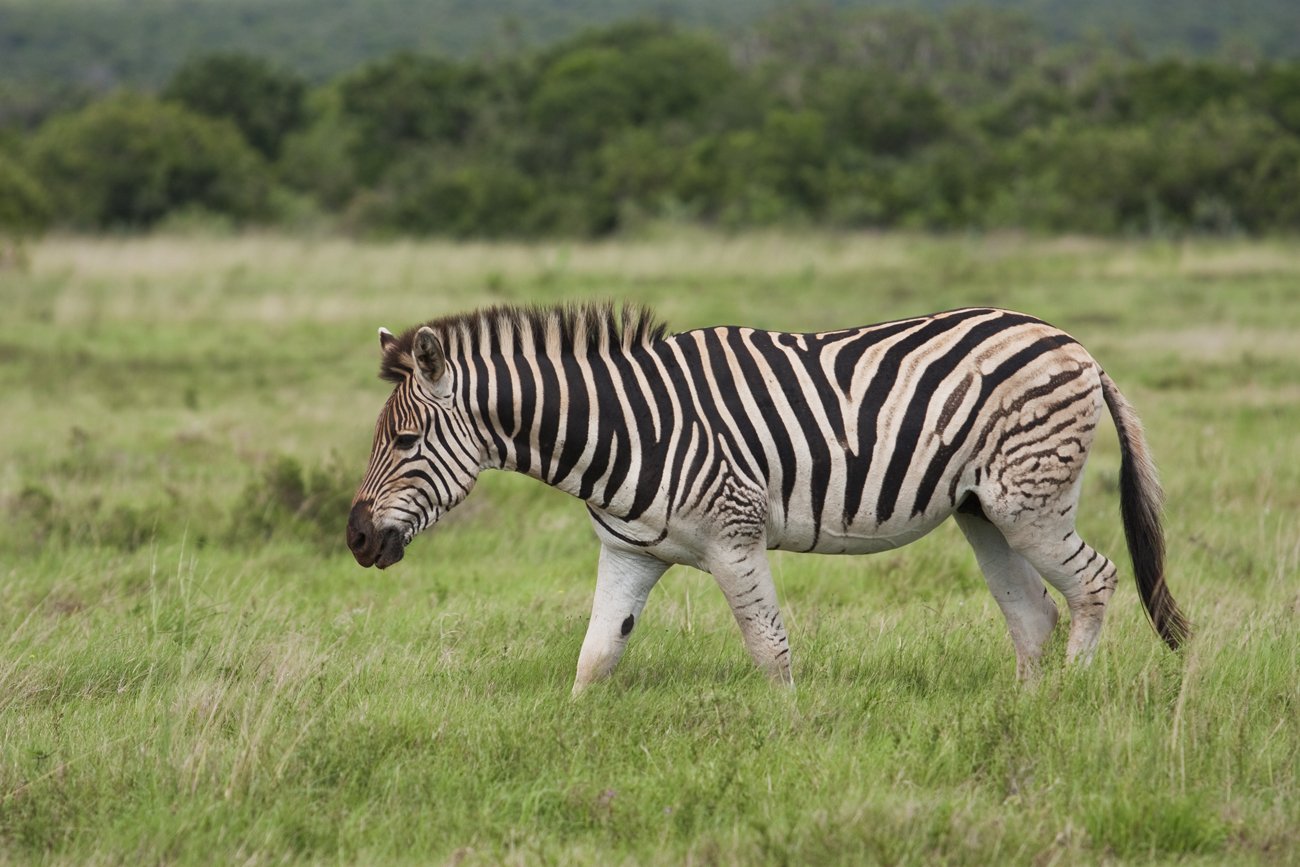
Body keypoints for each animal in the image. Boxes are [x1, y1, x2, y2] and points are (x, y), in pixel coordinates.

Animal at [345, 305, 1190, 691]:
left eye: (407, 441)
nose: (354, 538)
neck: (624, 428)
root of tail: (1073, 343)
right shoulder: (629, 551)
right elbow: (596, 654)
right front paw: (568, 738)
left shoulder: (734, 536)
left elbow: (769, 649)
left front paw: (789, 741)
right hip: (983, 511)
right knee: (1034, 615)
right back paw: (1022, 712)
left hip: (1030, 502)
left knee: (1095, 582)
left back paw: (1068, 705)